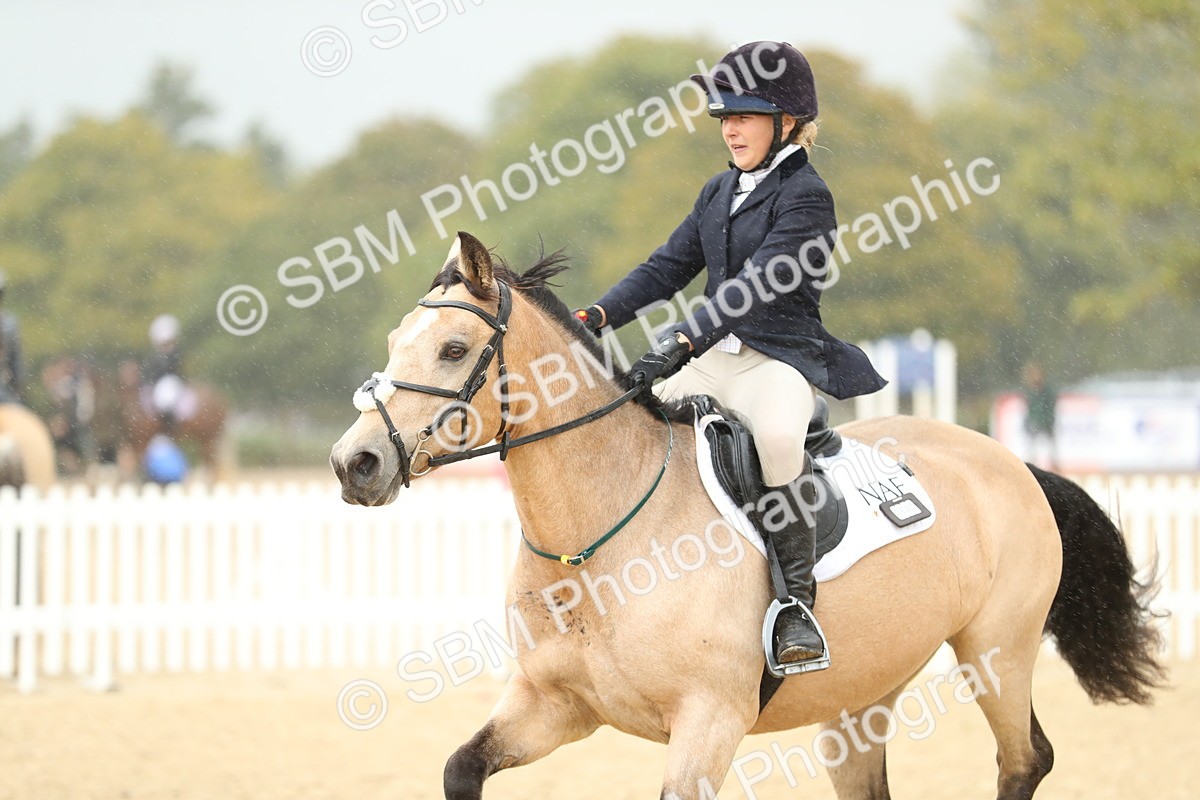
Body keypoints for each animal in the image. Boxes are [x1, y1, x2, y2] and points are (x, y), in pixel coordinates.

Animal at [330, 232, 1165, 799]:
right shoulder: (552, 706)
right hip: (865, 691)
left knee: (1025, 759)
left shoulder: (708, 720)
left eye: (453, 348)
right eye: (396, 342)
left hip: (997, 650)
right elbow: (461, 768)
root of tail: (1008, 461)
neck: (599, 543)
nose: (353, 463)